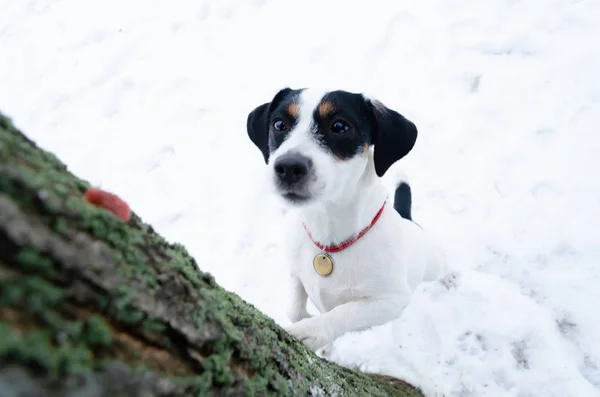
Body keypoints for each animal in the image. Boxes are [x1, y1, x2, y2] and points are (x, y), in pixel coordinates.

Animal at [246, 87, 448, 350]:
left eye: (340, 126)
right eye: (279, 124)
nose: (288, 167)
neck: (329, 238)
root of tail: (406, 220)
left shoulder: (391, 300)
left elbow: (344, 312)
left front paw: (311, 330)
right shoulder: (294, 269)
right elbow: (294, 309)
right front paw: (307, 320)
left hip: (431, 264)